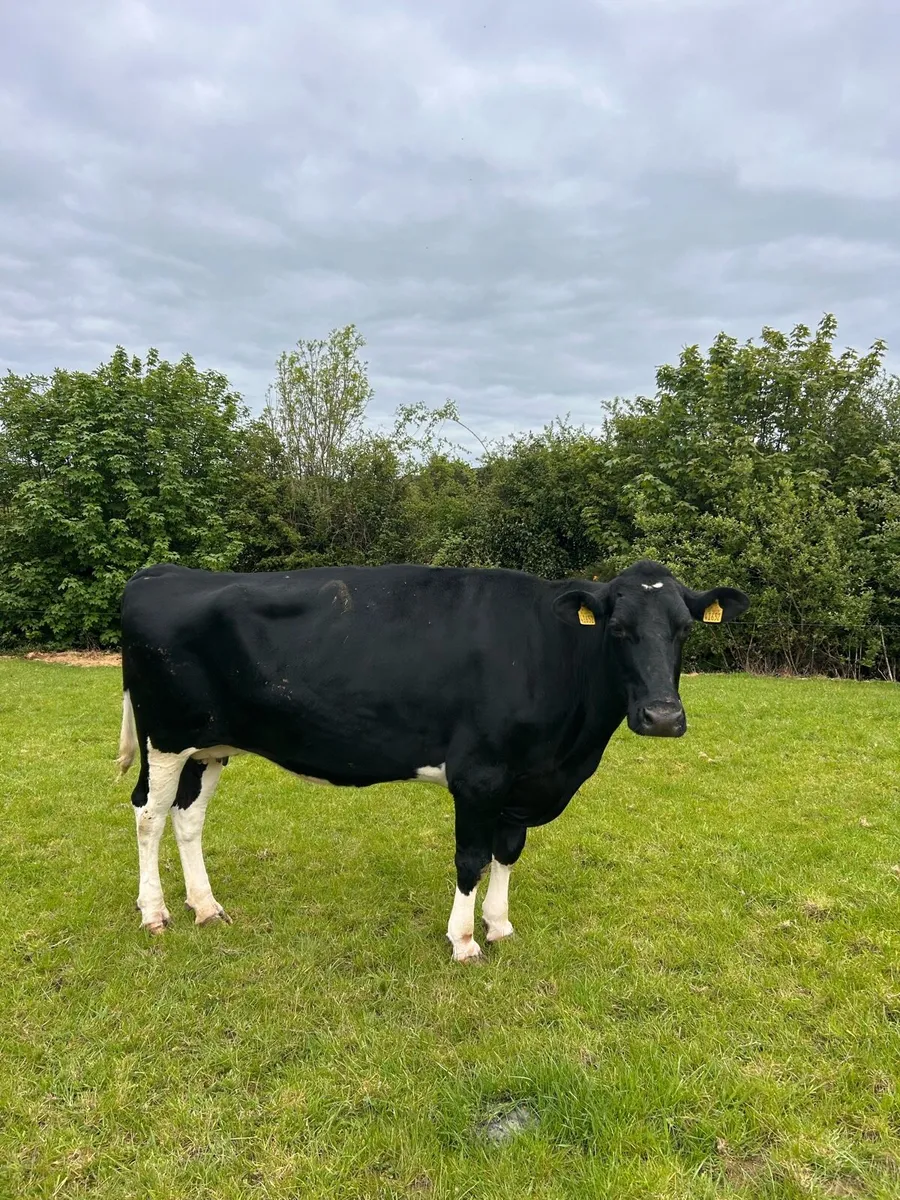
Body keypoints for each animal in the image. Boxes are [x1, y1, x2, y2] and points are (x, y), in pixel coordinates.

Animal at [116, 559, 749, 961]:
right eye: (616, 628)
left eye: (684, 629)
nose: (662, 716)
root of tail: (161, 573)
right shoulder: (479, 775)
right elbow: (471, 858)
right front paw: (464, 941)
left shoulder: (523, 780)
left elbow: (506, 852)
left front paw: (500, 927)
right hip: (166, 737)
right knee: (148, 815)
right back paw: (155, 913)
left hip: (209, 746)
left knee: (188, 817)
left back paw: (206, 907)